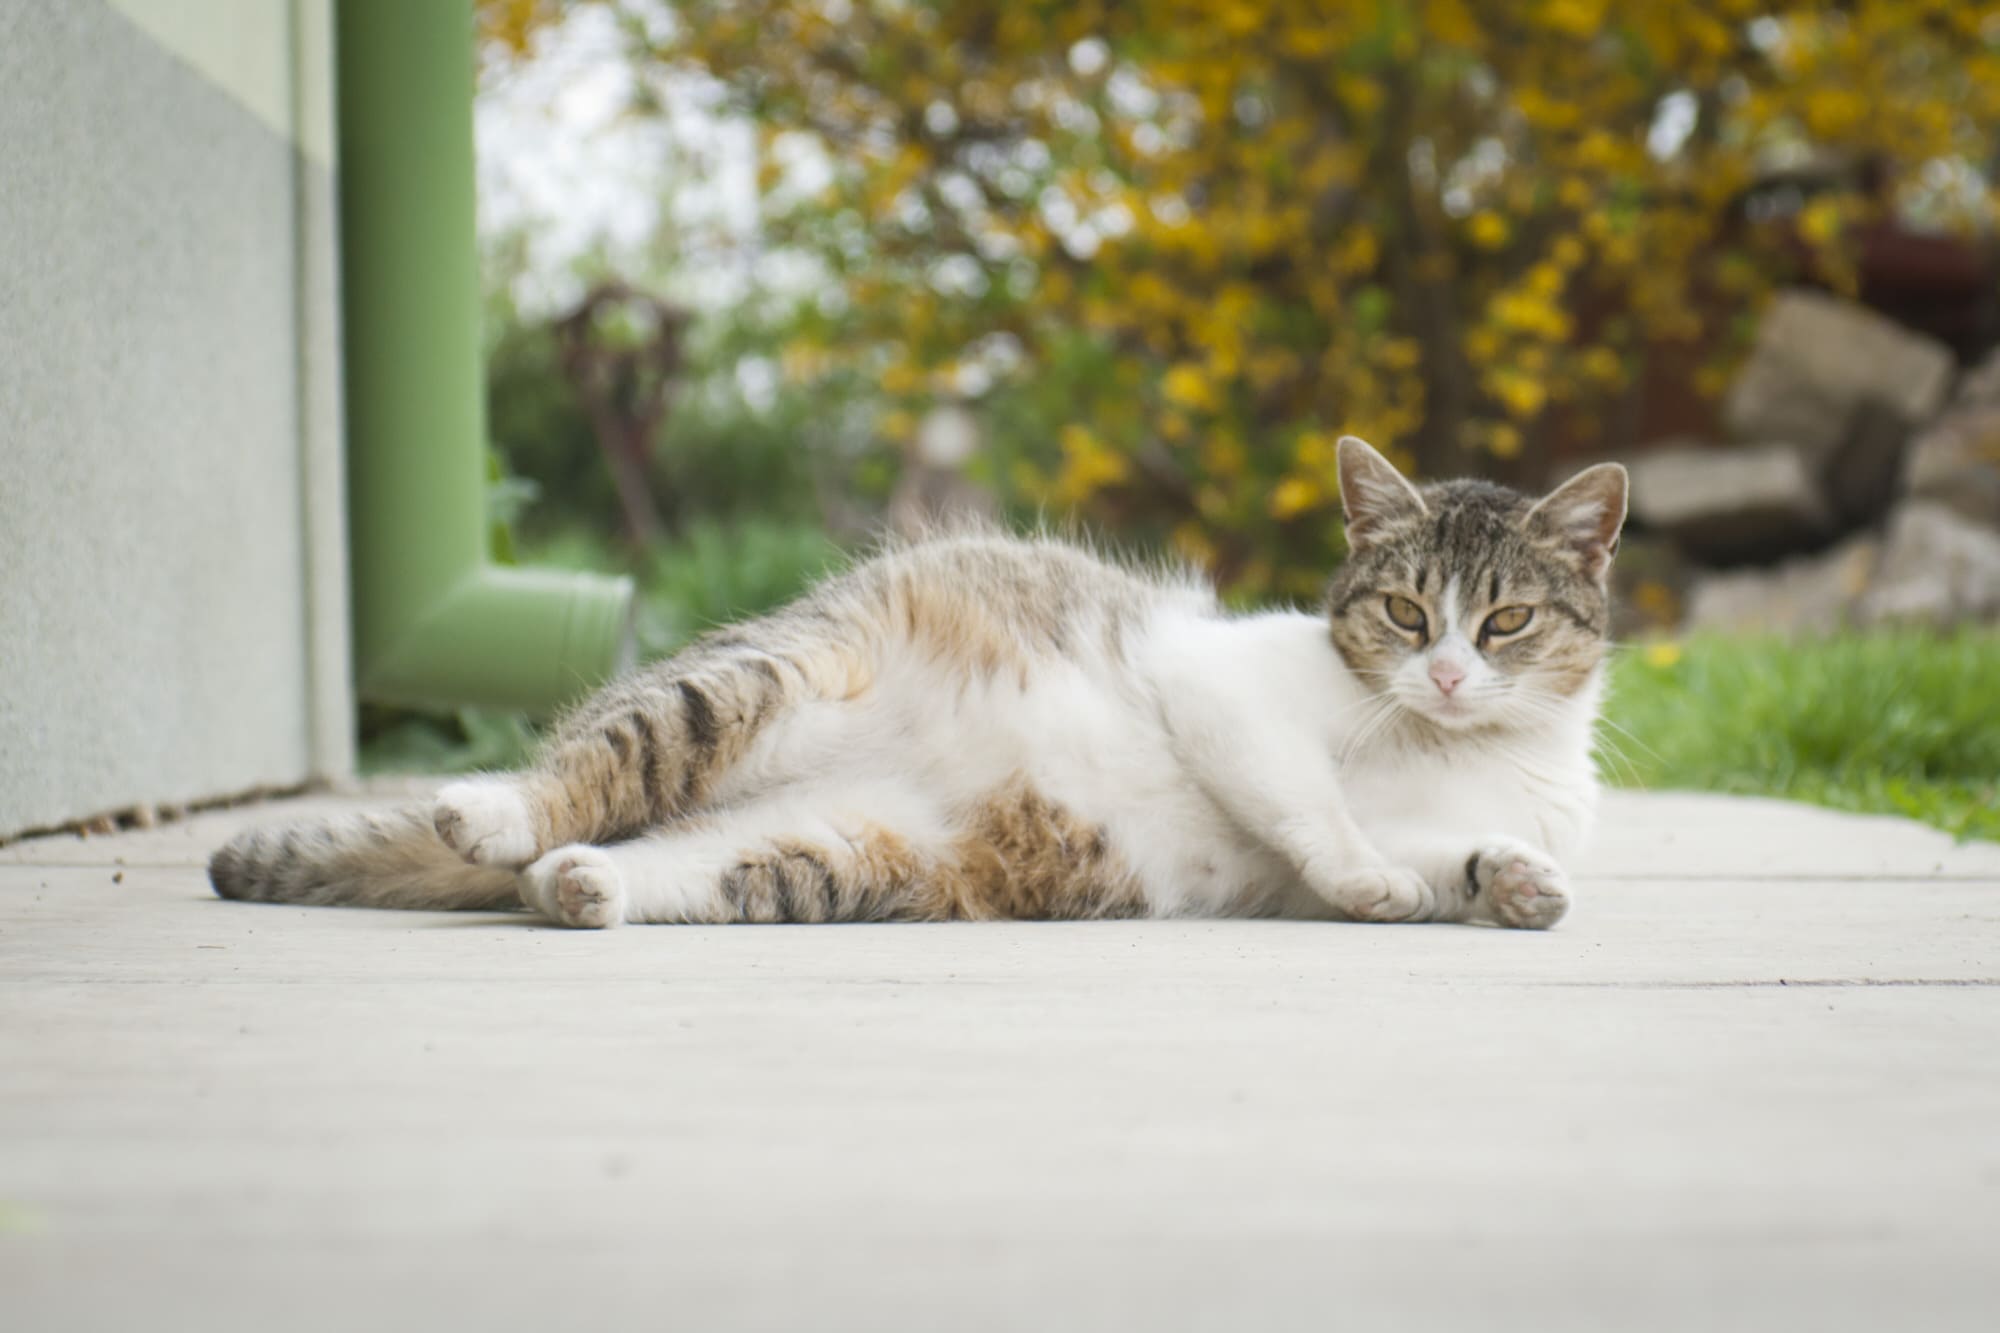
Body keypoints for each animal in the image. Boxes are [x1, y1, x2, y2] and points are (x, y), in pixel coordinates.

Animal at [215, 436, 1624, 924]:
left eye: (1504, 621)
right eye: (1404, 611)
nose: (1446, 675)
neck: (1446, 749)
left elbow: (1452, 857)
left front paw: (1512, 883)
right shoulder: (1223, 689)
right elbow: (1310, 806)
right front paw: (1372, 874)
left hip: (827, 851)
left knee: (644, 857)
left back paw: (579, 887)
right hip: (752, 685)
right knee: (583, 770)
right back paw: (495, 813)